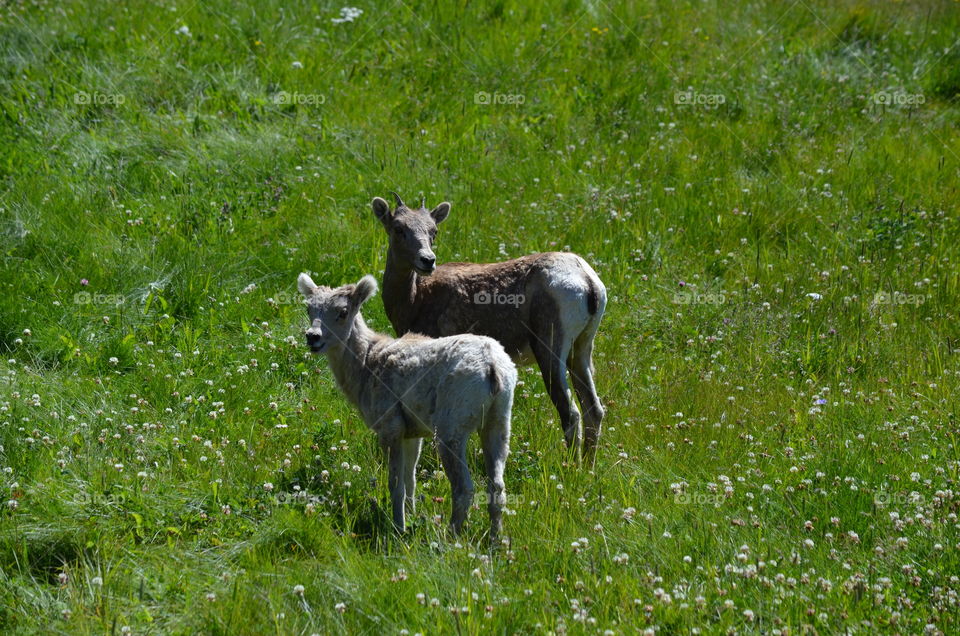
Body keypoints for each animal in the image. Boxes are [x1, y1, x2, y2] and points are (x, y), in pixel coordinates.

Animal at [297, 273, 517, 539]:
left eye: (343, 312)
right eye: (309, 309)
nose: (312, 337)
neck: (366, 363)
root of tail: (492, 366)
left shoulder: (390, 427)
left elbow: (396, 483)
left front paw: (399, 528)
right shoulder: (412, 432)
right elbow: (410, 478)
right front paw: (411, 517)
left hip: (451, 427)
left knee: (464, 488)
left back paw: (451, 538)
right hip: (499, 420)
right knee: (497, 487)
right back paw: (496, 540)